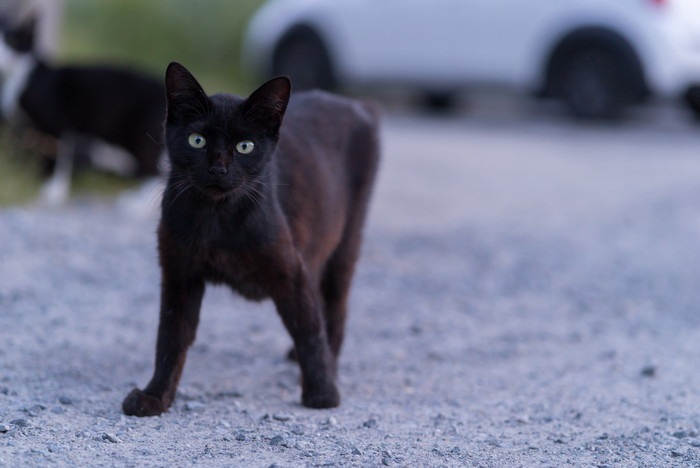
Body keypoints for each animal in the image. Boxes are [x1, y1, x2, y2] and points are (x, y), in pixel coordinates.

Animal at [123, 63, 380, 416]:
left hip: (345, 244)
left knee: (334, 308)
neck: (216, 218)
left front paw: (323, 394)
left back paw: (330, 363)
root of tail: (355, 105)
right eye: (197, 140)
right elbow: (170, 337)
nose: (218, 169)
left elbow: (308, 328)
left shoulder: (289, 271)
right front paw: (155, 396)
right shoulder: (179, 275)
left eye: (245, 146)